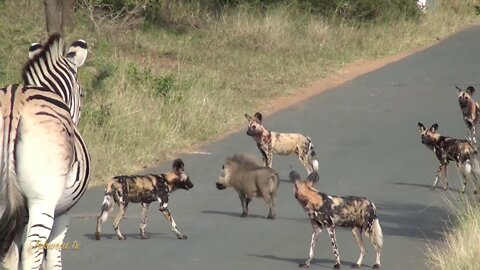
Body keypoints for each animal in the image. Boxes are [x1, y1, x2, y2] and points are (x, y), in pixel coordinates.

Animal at [0, 33, 90, 270]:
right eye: (81, 93)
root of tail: (15, 101)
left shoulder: (18, 216)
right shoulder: (61, 214)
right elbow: (52, 258)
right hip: (44, 198)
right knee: (32, 250)